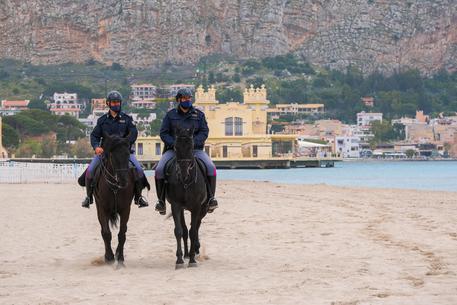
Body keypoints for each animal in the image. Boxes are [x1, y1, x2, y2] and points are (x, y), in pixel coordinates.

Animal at [93, 132, 134, 266]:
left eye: (127, 154)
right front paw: (109, 257)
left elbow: (122, 233)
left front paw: (120, 257)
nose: (123, 181)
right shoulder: (102, 209)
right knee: (103, 231)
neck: (115, 186)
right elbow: (106, 233)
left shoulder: (126, 209)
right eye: (113, 155)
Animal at [166, 127, 208, 268]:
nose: (184, 173)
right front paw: (179, 260)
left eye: (192, 147)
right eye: (175, 147)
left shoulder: (197, 206)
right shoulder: (176, 205)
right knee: (185, 230)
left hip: (203, 209)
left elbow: (193, 231)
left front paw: (192, 259)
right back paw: (186, 254)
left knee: (196, 227)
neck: (186, 182)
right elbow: (179, 231)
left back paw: (195, 250)